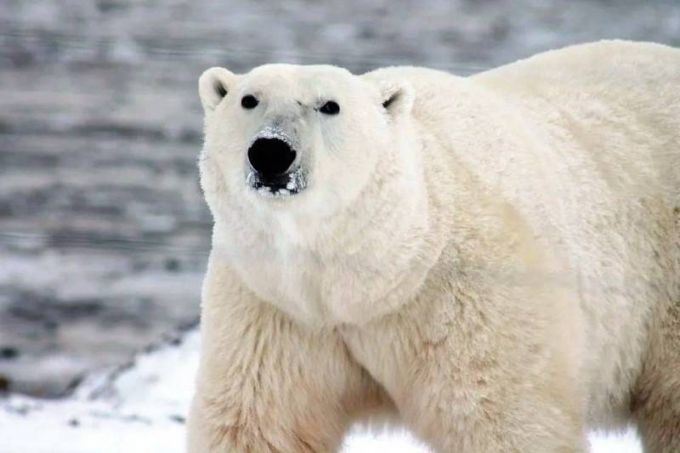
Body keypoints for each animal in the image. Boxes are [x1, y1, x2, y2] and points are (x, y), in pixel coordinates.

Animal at [187, 40, 680, 452]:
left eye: (330, 105)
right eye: (249, 99)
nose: (271, 151)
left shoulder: (469, 299)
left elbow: (504, 419)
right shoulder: (276, 308)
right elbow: (260, 422)